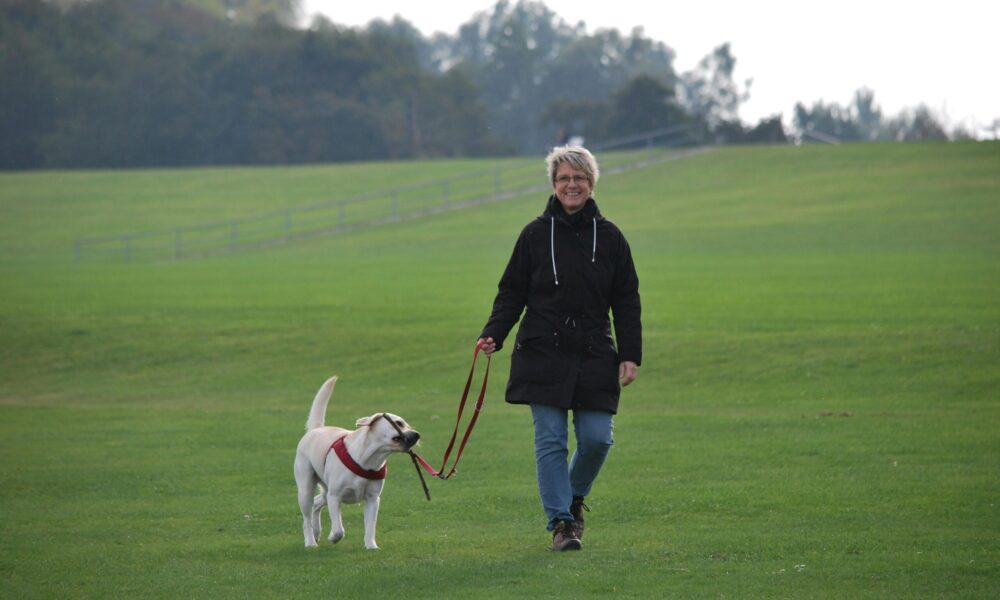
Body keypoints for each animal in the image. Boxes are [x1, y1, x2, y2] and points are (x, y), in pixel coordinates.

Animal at [293, 376, 420, 549]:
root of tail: (315, 429)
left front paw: (371, 546)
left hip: (325, 490)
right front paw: (333, 537)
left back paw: (317, 532)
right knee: (307, 517)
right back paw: (311, 542)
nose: (417, 434)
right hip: (306, 488)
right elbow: (339, 529)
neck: (368, 460)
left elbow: (370, 526)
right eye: (399, 423)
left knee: (317, 503)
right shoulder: (335, 496)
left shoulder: (373, 499)